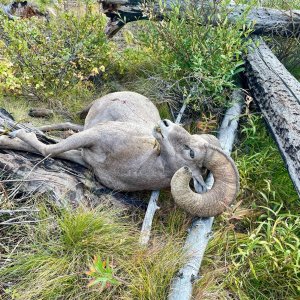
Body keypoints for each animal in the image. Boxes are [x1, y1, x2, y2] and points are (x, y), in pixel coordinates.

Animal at [0, 91, 239, 216]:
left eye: (191, 153)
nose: (165, 123)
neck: (133, 163)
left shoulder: (83, 156)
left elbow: (46, 149)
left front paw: (12, 136)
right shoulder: (94, 136)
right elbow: (49, 147)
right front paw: (14, 133)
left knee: (66, 126)